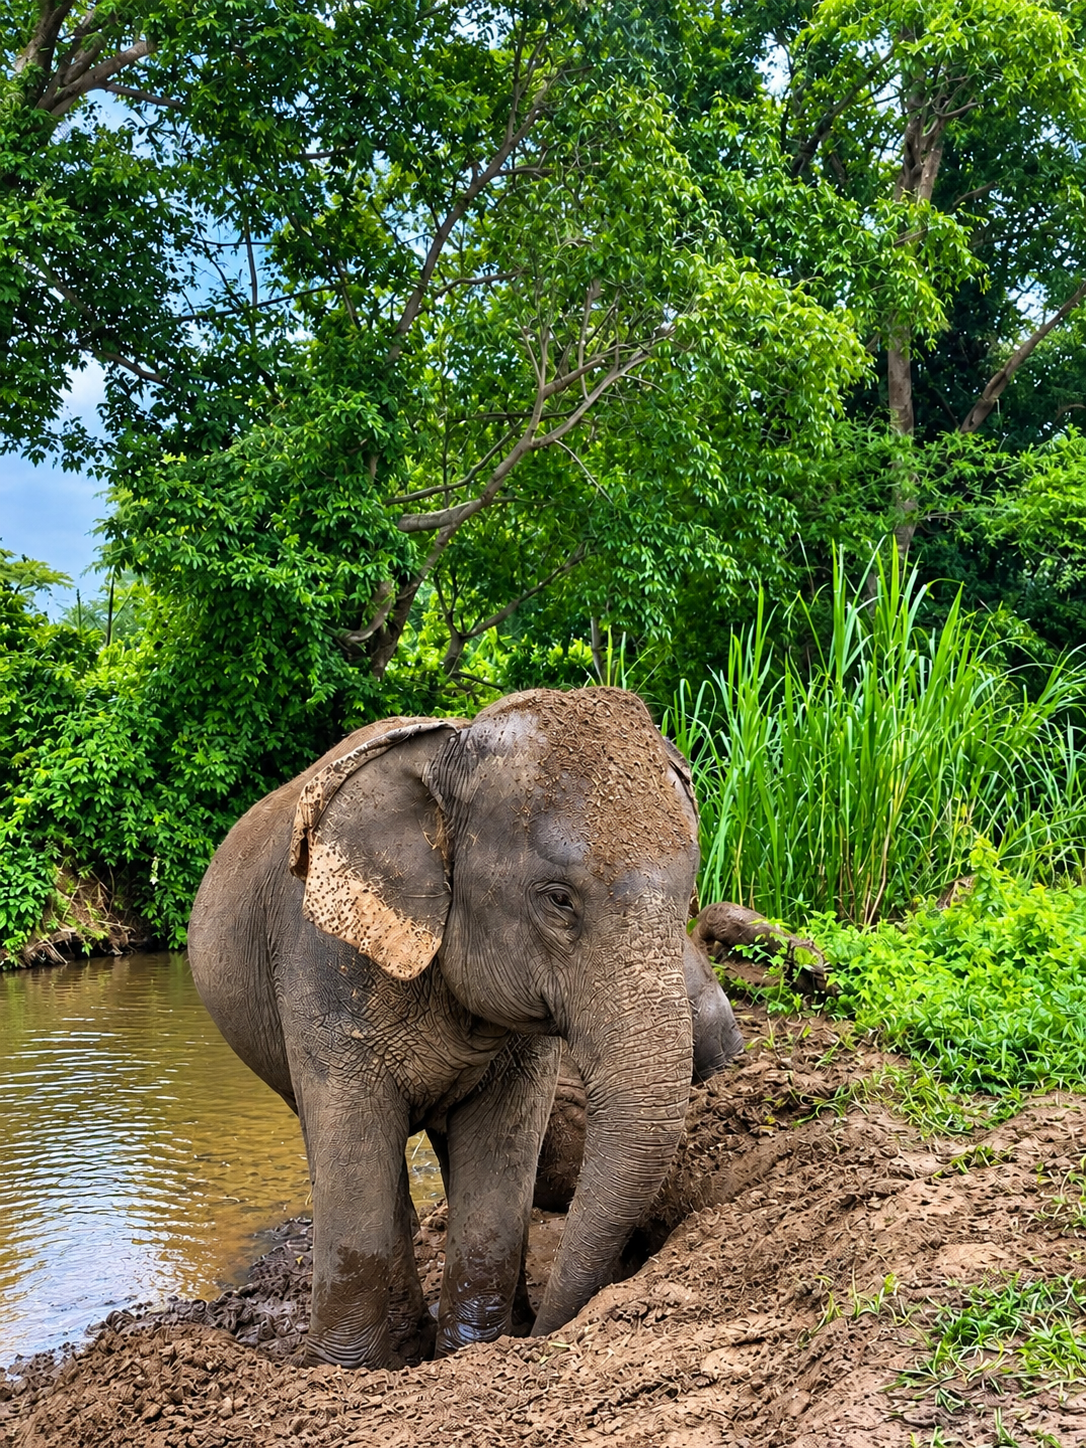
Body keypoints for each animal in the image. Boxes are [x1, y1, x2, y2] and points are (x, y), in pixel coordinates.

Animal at [188, 687, 706, 1370]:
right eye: (558, 900)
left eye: (689, 897)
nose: (552, 1332)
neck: (449, 757)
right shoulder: (319, 957)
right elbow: (353, 1145)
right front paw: (342, 1373)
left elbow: (501, 1146)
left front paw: (473, 1349)